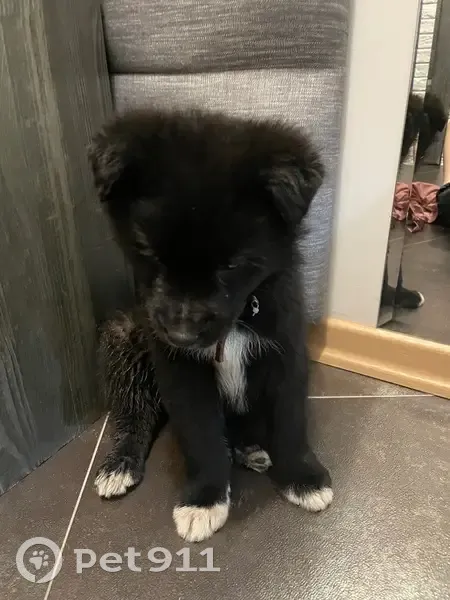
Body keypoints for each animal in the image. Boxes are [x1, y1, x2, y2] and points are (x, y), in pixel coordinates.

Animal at [89, 108, 332, 542]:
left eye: (233, 264)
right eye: (149, 252)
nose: (182, 336)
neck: (239, 319)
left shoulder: (285, 352)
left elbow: (289, 421)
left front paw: (303, 478)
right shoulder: (181, 371)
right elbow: (201, 434)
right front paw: (204, 500)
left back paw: (251, 449)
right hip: (124, 338)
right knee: (132, 413)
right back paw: (119, 464)